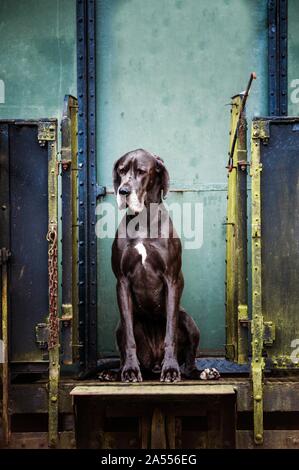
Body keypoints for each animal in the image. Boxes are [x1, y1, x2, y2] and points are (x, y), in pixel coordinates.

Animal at [112, 150, 202, 382]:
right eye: (121, 170)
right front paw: (130, 370)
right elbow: (129, 339)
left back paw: (204, 372)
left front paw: (170, 369)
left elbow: (170, 331)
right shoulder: (122, 282)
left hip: (189, 321)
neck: (143, 221)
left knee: (190, 364)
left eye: (142, 171)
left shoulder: (172, 280)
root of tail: (152, 362)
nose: (123, 191)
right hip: (119, 327)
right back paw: (112, 374)